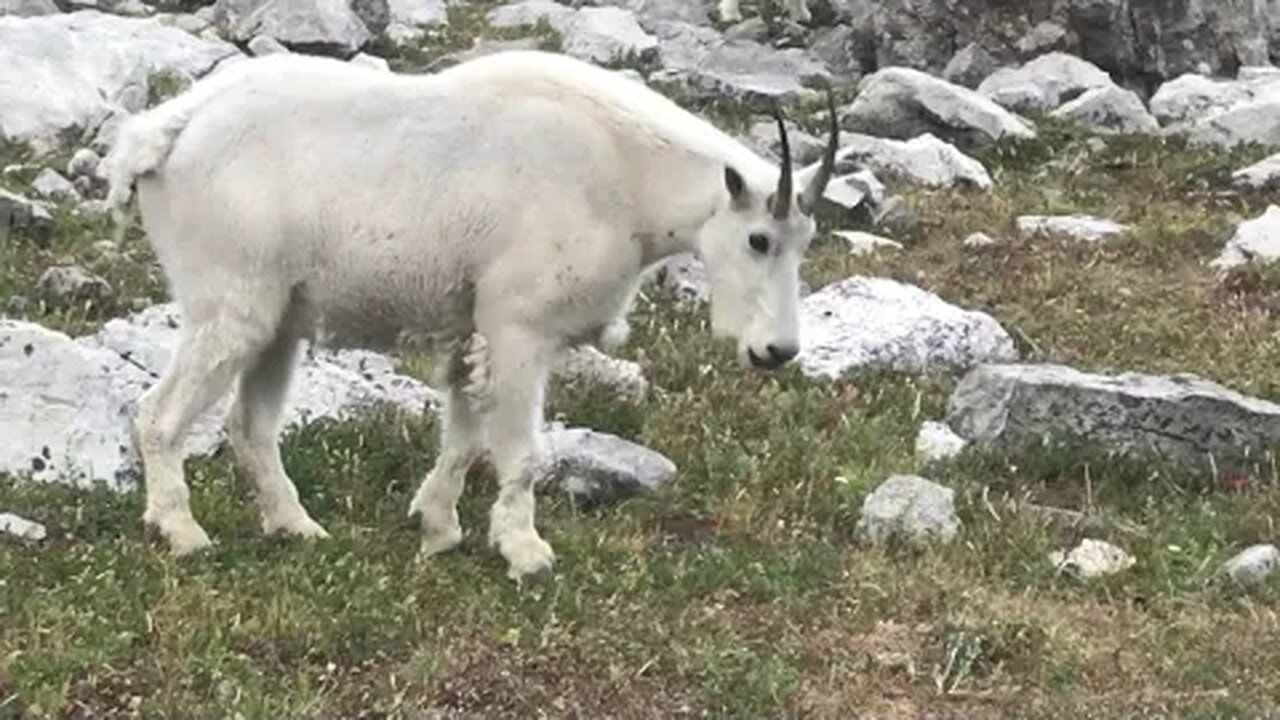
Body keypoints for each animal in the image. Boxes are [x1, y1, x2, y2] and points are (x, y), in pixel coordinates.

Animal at [102, 50, 839, 576]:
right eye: (758, 239)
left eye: (805, 240)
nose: (777, 351)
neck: (623, 175)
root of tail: (166, 132)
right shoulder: (520, 328)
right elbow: (520, 451)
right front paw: (525, 552)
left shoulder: (470, 329)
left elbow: (464, 435)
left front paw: (437, 528)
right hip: (232, 304)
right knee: (158, 413)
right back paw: (182, 531)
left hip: (280, 318)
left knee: (250, 425)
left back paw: (297, 527)